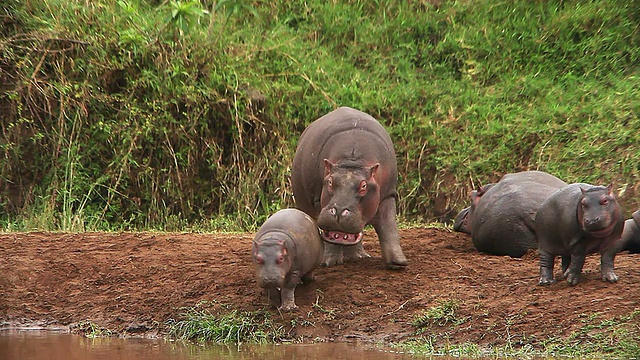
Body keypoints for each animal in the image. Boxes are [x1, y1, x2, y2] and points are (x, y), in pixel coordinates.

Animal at [290, 105, 404, 268]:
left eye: (364, 186)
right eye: (330, 182)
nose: (338, 211)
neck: (353, 160)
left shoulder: (388, 194)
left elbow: (389, 225)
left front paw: (398, 262)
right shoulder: (319, 200)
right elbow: (328, 232)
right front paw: (328, 263)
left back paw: (359, 257)